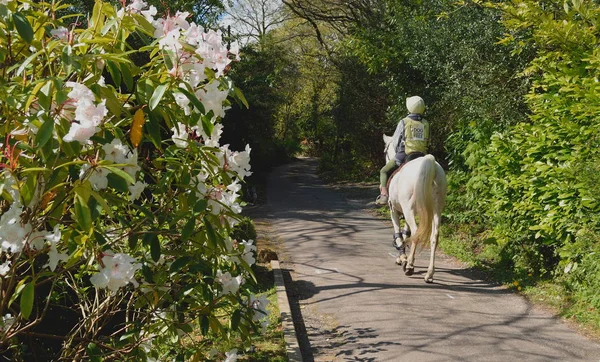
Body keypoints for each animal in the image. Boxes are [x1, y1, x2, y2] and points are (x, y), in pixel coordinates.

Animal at [384, 134, 446, 282]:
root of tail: (431, 164)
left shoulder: (394, 211)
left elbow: (399, 233)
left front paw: (402, 258)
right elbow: (406, 233)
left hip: (409, 210)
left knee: (417, 232)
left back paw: (410, 267)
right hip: (437, 209)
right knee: (434, 237)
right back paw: (429, 274)